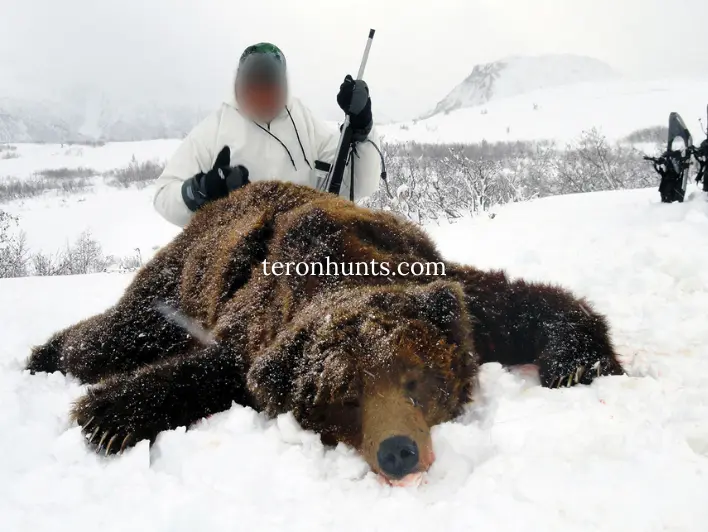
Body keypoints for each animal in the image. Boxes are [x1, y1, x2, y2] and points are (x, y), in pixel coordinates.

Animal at [26, 181, 624, 486]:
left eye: (418, 378)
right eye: (344, 396)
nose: (398, 451)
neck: (340, 268)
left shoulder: (438, 280)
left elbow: (521, 301)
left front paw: (577, 360)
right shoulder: (263, 317)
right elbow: (221, 367)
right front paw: (107, 416)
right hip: (179, 276)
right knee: (121, 330)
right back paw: (44, 355)